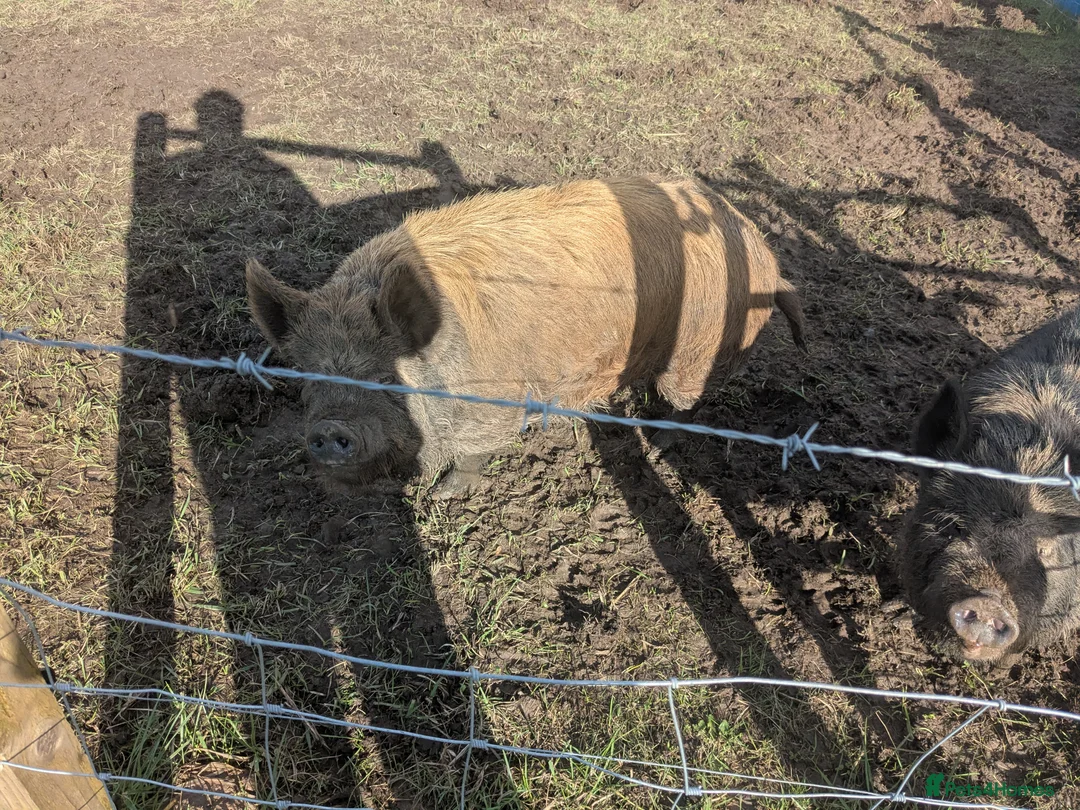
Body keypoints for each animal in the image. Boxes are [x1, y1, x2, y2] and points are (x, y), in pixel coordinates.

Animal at [245, 175, 806, 499]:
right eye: (305, 378)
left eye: (387, 378)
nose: (328, 429)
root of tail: (764, 255)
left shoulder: (493, 405)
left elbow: (472, 455)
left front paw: (447, 497)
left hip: (696, 352)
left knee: (686, 401)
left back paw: (662, 438)